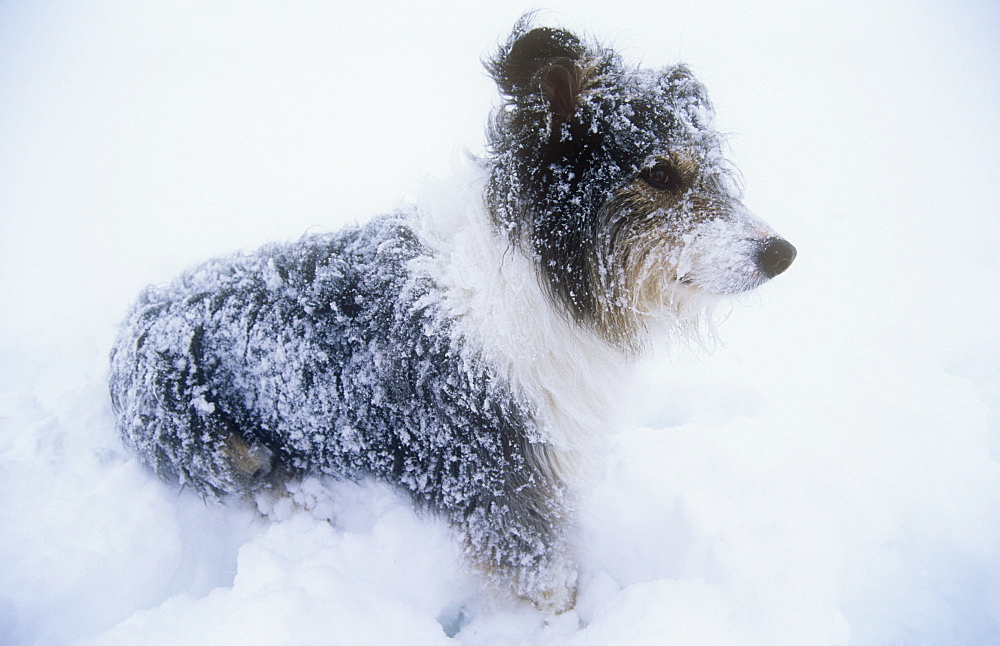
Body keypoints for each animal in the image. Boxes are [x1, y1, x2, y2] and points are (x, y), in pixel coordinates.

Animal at [107, 19, 796, 612]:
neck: (529, 287)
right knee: (256, 484)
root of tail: (135, 319)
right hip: (204, 432)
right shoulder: (499, 486)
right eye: (659, 173)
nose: (783, 254)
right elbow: (547, 582)